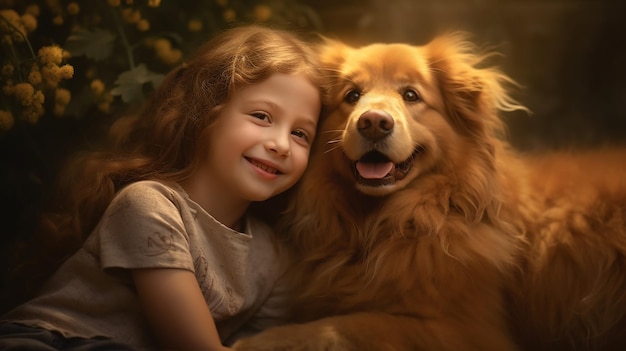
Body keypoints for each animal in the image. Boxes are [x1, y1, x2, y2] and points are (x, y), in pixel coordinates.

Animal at [233, 33, 624, 351]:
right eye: (352, 96)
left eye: (411, 95)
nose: (373, 122)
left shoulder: (473, 331)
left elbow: (352, 324)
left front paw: (262, 341)